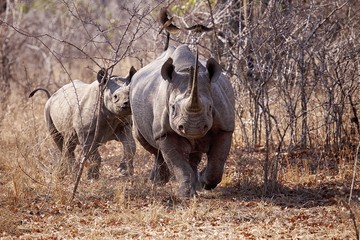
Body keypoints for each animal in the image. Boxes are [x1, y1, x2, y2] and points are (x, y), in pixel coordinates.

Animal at [131, 45, 235, 197]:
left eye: (210, 107)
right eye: (173, 107)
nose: (193, 129)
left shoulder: (225, 127)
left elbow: (217, 162)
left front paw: (204, 182)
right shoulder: (165, 132)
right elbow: (177, 163)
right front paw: (186, 195)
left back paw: (196, 183)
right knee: (148, 144)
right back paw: (158, 182)